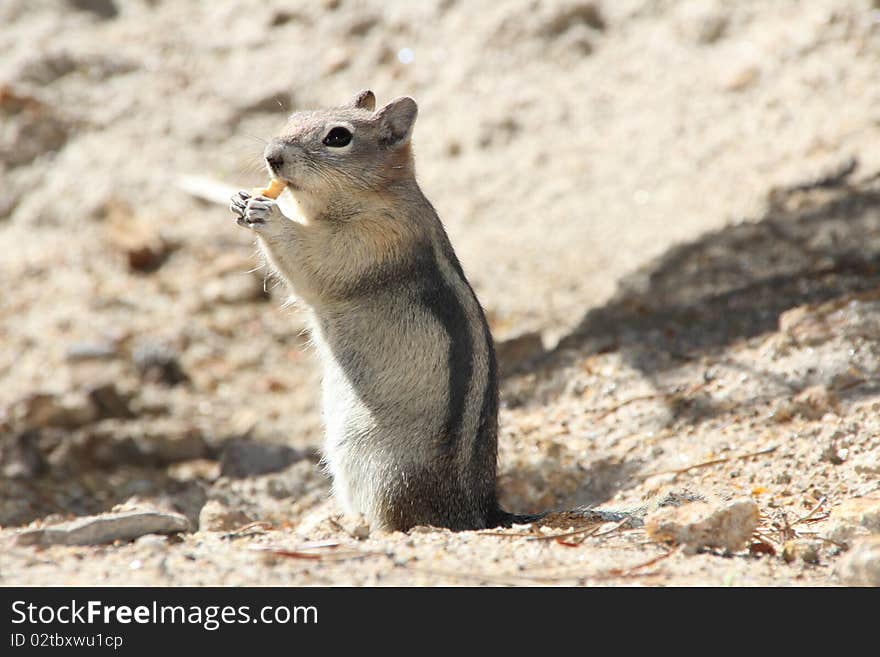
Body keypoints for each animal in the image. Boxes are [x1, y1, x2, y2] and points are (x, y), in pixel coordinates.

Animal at [230, 89, 536, 532]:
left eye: (338, 137)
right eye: (296, 116)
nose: (272, 156)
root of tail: (476, 511)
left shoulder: (371, 240)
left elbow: (313, 263)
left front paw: (267, 213)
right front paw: (240, 199)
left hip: (385, 472)